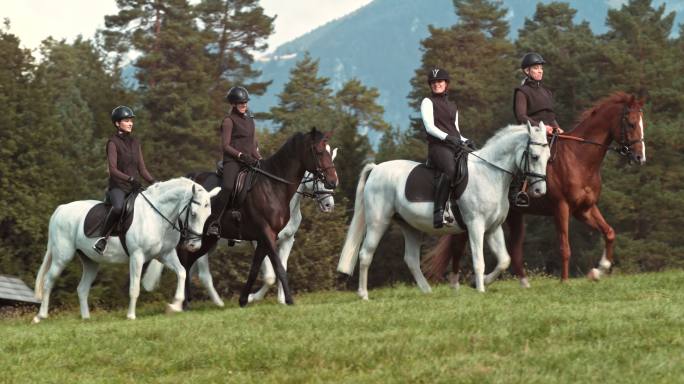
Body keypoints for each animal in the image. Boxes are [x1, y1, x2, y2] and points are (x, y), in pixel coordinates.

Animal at [32, 178, 216, 322]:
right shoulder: (137, 256)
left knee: (82, 288)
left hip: (90, 261)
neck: (157, 216)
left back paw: (86, 319)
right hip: (62, 256)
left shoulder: (165, 255)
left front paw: (175, 305)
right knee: (49, 280)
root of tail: (61, 209)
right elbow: (134, 288)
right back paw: (41, 316)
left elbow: (182, 273)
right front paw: (131, 316)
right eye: (193, 213)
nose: (194, 246)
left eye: (208, 215)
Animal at [142, 150, 340, 306]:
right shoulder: (261, 239)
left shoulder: (287, 240)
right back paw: (214, 303)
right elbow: (270, 275)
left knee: (190, 267)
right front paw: (252, 298)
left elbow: (281, 266)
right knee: (201, 273)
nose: (329, 205)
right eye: (318, 175)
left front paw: (282, 300)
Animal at [336, 122, 552, 296]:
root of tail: (376, 169)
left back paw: (427, 292)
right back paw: (363, 294)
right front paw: (480, 290)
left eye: (549, 157)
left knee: (411, 259)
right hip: (377, 222)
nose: (540, 191)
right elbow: (479, 261)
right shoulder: (475, 226)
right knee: (365, 254)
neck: (490, 173)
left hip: (410, 226)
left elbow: (504, 260)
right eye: (534, 156)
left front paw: (477, 283)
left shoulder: (493, 228)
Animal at [428, 92, 648, 284]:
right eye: (631, 123)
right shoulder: (562, 208)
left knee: (513, 252)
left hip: (514, 216)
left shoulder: (584, 209)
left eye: (641, 123)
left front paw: (598, 270)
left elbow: (609, 233)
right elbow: (565, 247)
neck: (579, 159)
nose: (640, 157)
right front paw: (565, 281)